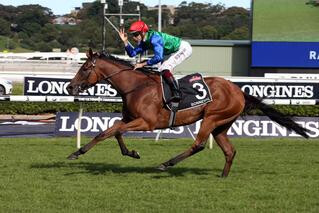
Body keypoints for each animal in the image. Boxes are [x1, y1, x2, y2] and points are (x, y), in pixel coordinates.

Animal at [65, 49, 310, 177]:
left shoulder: (147, 122)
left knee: (199, 144)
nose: (69, 87)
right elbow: (110, 132)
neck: (136, 86)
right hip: (222, 125)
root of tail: (239, 91)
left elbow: (111, 132)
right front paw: (80, 152)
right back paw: (223, 176)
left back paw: (167, 163)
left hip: (211, 118)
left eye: (84, 68)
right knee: (229, 151)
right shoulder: (129, 119)